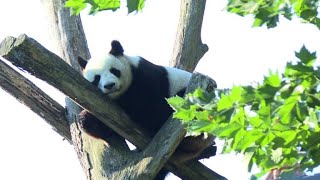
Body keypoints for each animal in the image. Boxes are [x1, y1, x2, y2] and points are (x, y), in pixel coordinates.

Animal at [78, 40, 216, 179]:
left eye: (114, 71)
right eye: (97, 78)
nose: (109, 85)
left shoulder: (147, 79)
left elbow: (150, 110)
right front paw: (88, 121)